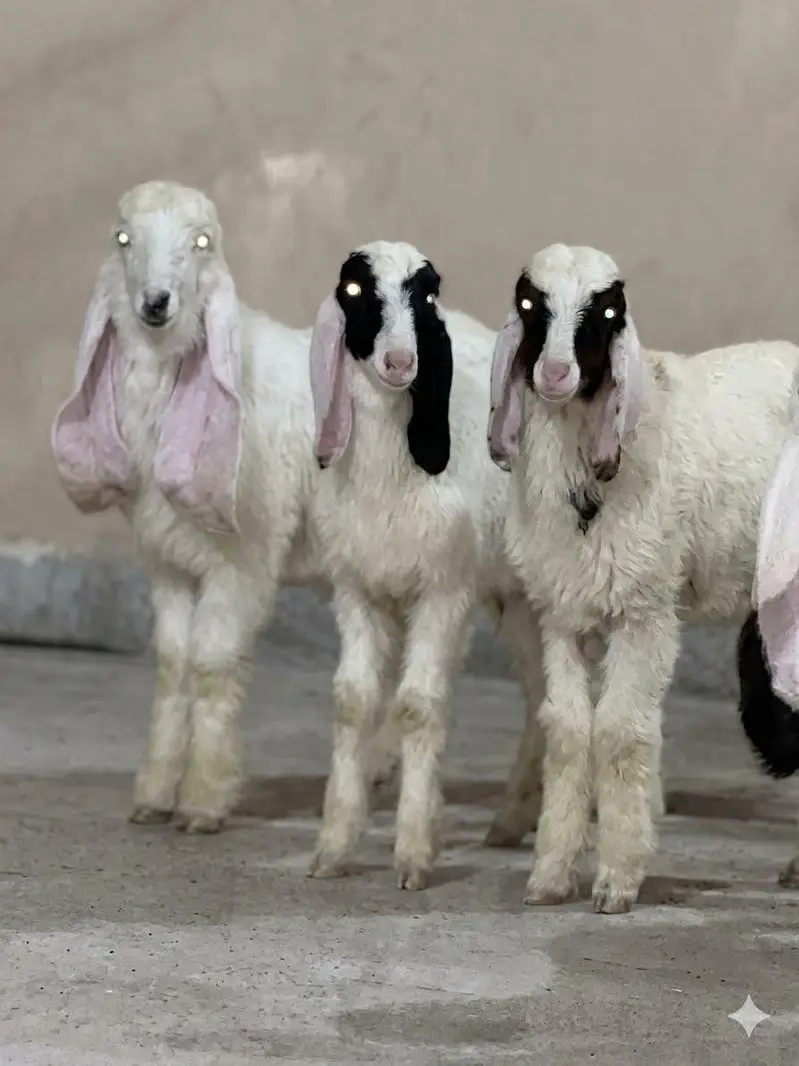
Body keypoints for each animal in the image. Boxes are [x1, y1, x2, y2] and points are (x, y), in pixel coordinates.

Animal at [51, 179, 337, 834]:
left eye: (203, 242)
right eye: (123, 237)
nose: (156, 302)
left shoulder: (244, 561)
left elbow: (211, 665)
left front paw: (204, 799)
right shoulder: (168, 563)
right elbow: (172, 667)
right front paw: (155, 794)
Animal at [305, 240, 548, 890]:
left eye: (429, 296)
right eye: (355, 291)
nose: (399, 362)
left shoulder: (444, 591)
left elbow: (416, 706)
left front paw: (413, 851)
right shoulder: (357, 590)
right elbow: (352, 701)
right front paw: (333, 847)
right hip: (514, 599)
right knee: (543, 697)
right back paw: (513, 818)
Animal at [487, 241, 799, 913]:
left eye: (607, 310)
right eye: (528, 303)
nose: (555, 375)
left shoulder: (645, 611)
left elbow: (621, 732)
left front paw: (616, 882)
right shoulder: (563, 615)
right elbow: (569, 732)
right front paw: (550, 874)